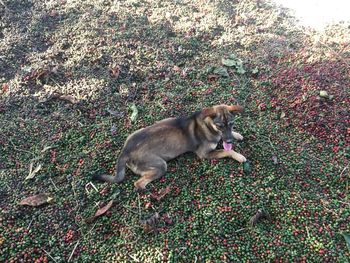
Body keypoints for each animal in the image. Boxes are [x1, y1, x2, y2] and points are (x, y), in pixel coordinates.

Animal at [93, 103, 246, 192]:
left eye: (231, 124)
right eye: (220, 126)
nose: (229, 140)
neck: (208, 125)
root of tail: (125, 151)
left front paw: (237, 135)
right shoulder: (204, 154)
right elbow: (227, 151)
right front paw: (239, 156)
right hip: (160, 165)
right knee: (138, 184)